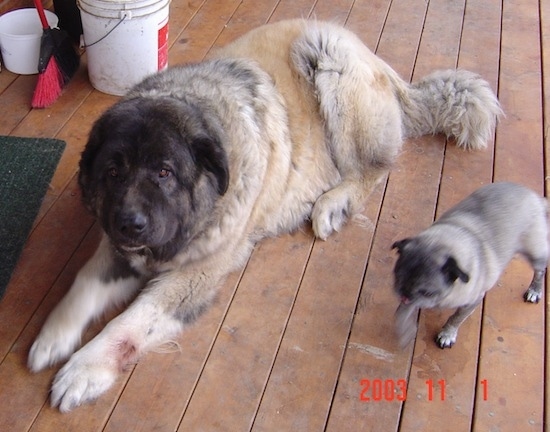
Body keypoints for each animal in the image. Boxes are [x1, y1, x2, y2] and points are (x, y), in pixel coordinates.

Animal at [29, 21, 504, 412]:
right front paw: (53, 337)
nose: (131, 223)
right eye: (113, 172)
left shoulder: (194, 276)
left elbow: (128, 324)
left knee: (373, 170)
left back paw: (333, 204)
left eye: (164, 173)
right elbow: (83, 283)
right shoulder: (119, 249)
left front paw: (84, 369)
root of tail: (387, 69)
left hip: (329, 61)